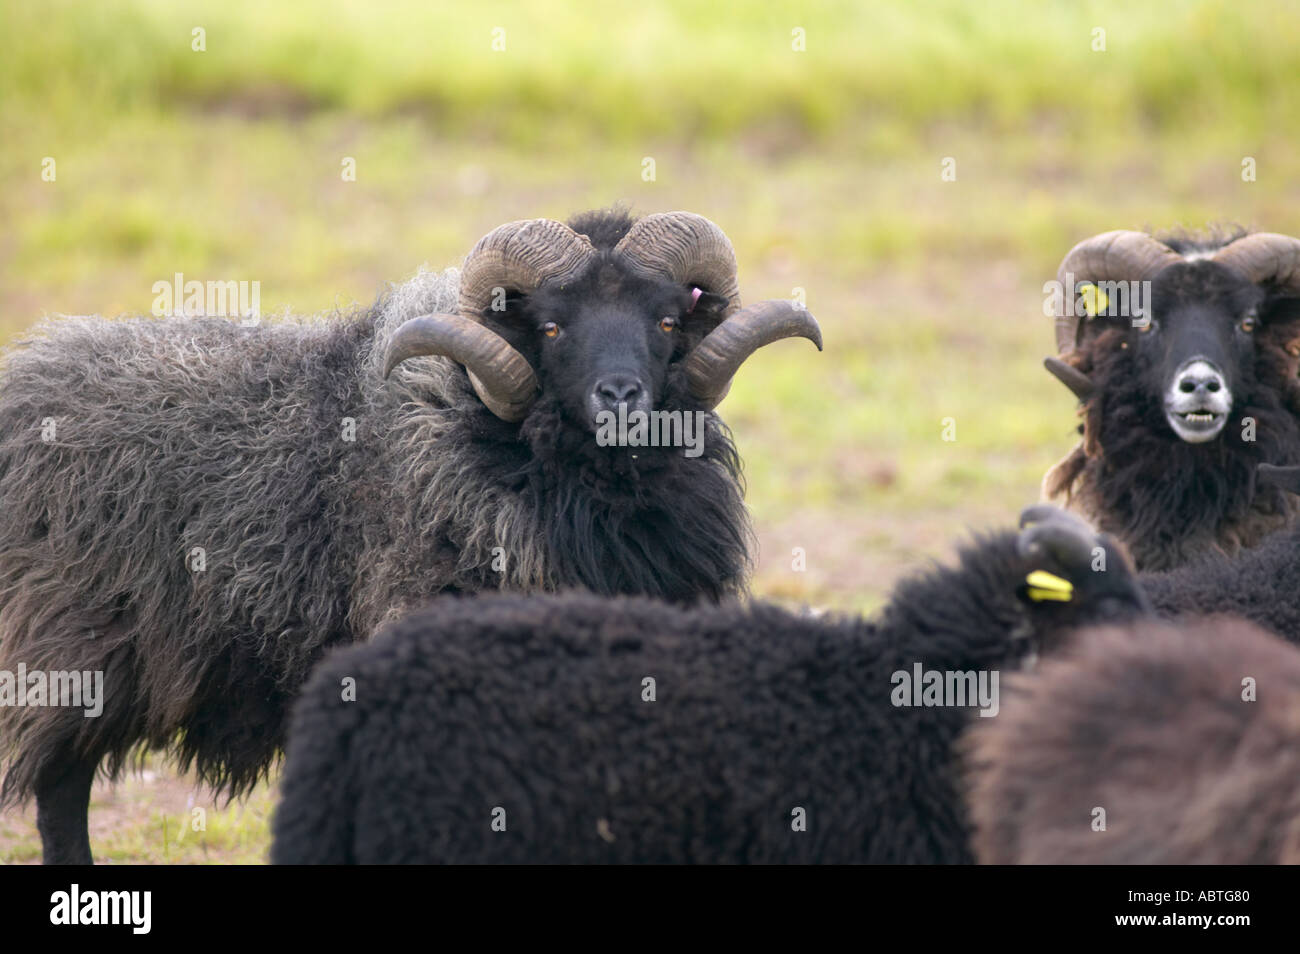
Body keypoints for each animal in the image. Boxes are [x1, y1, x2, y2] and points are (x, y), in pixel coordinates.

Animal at [0, 207, 823, 864]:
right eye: (552, 326)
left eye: (666, 321)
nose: (619, 398)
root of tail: (28, 376)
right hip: (73, 651)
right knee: (60, 794)